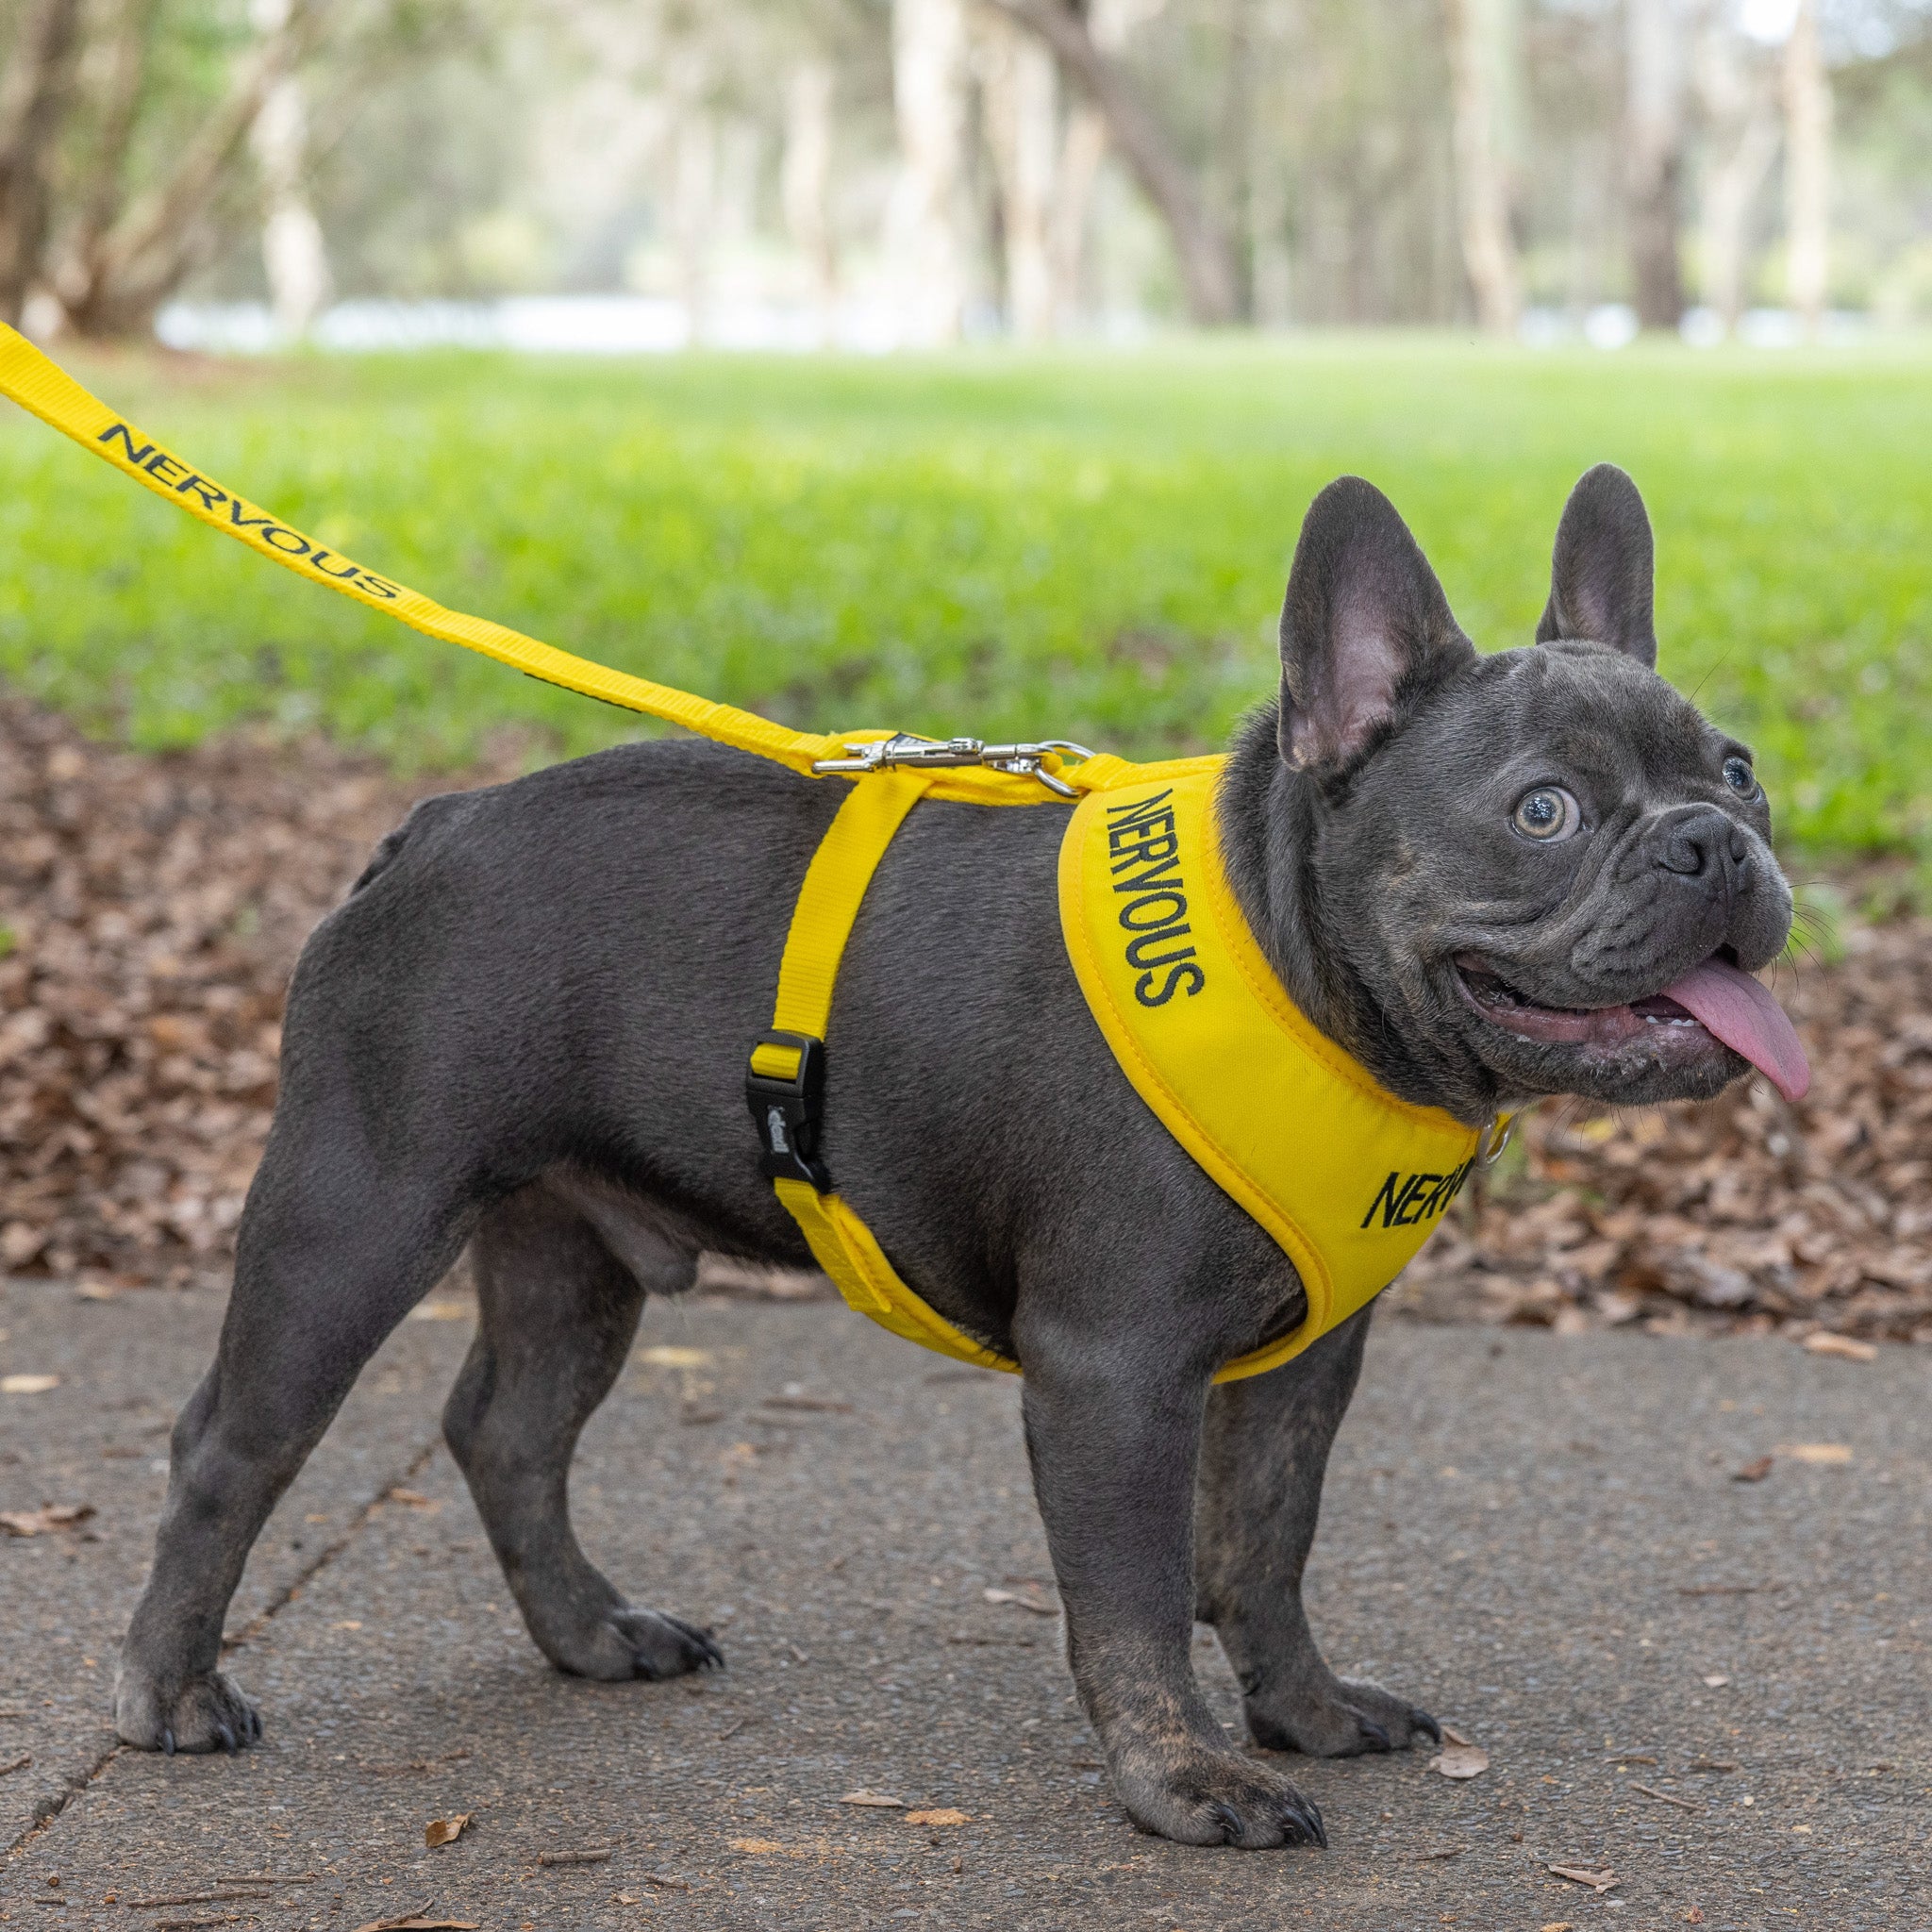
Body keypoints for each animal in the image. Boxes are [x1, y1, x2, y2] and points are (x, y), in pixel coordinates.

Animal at [116, 459, 1792, 1846]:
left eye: (1742, 769)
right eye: (1544, 810)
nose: (1717, 842)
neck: (1296, 966)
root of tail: (432, 825)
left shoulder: (1309, 1364)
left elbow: (1265, 1544)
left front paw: (1303, 1714)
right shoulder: (1113, 1370)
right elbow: (1132, 1601)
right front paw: (1184, 1782)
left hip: (571, 1249)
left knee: (508, 1432)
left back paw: (593, 1635)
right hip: (356, 1215)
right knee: (231, 1445)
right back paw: (172, 1694)